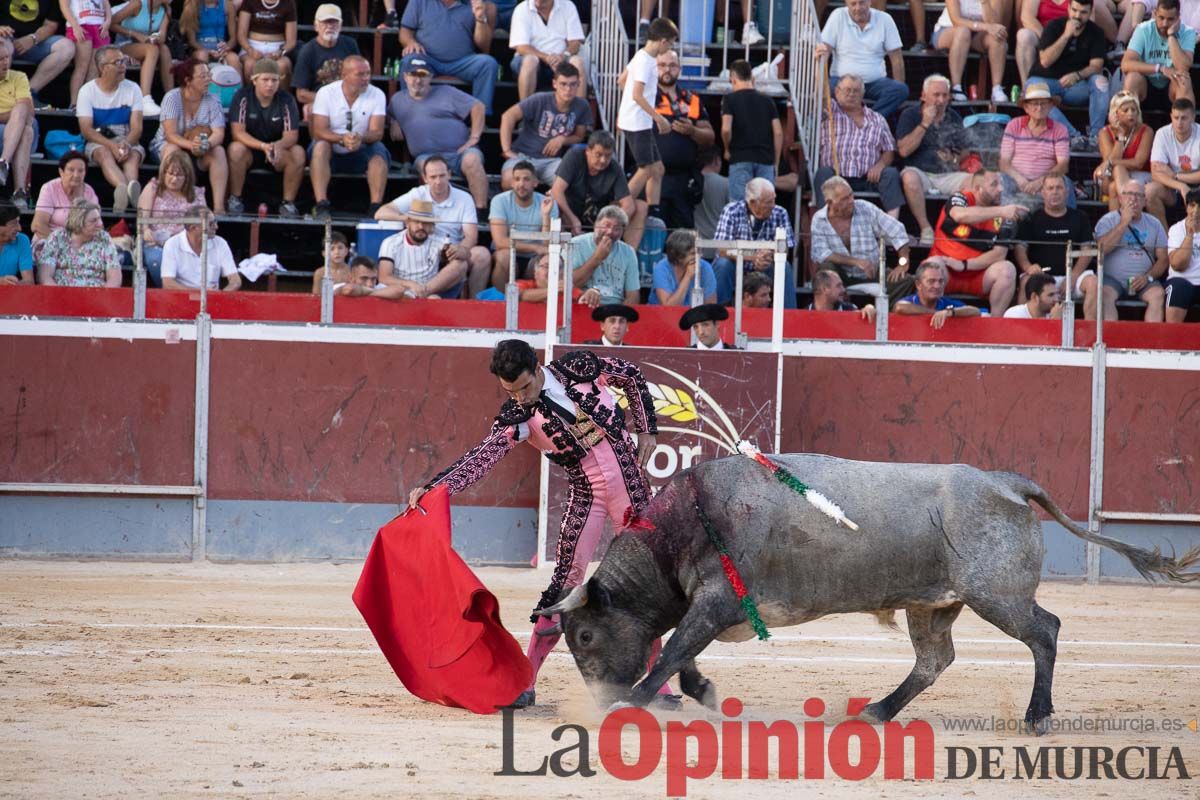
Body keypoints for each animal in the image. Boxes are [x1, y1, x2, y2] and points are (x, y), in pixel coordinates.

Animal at [537, 453, 1200, 729]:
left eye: (585, 635)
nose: (599, 694)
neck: (683, 527)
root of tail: (1005, 482)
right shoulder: (715, 609)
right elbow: (685, 654)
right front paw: (697, 693)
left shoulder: (716, 602)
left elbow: (674, 649)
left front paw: (632, 702)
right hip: (934, 605)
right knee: (935, 659)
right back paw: (877, 711)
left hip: (998, 597)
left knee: (1045, 632)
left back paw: (1037, 717)